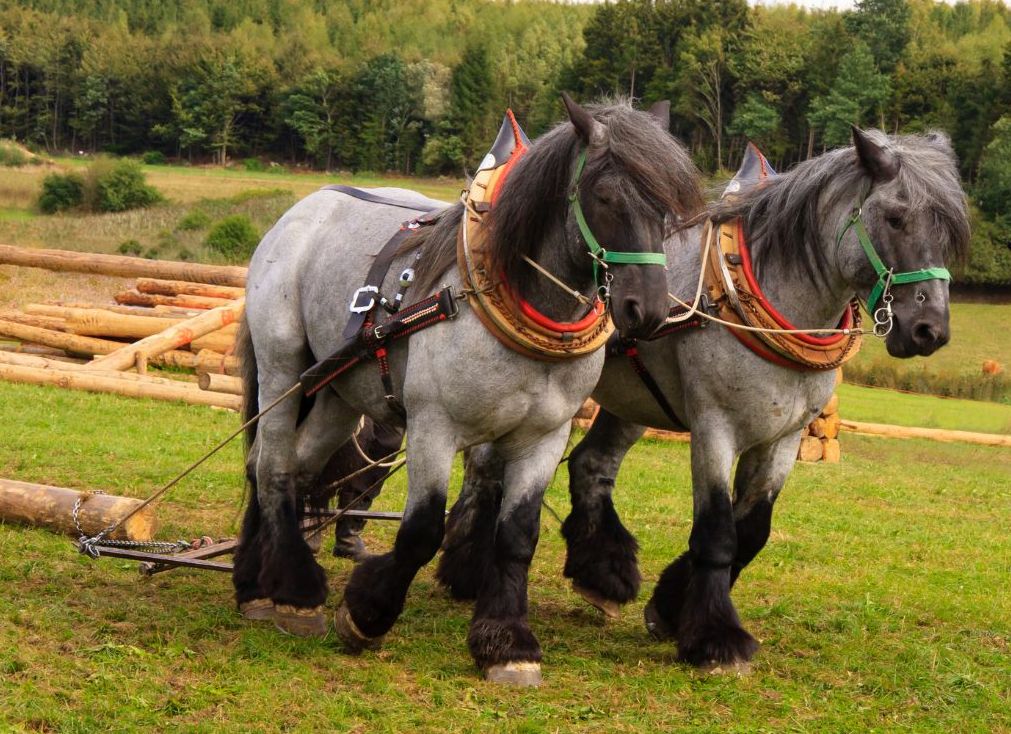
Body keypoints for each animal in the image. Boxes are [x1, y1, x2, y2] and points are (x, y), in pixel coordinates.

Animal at [231, 95, 703, 685]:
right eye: (604, 196)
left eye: (667, 209)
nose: (649, 309)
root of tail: (299, 212)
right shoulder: (433, 426)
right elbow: (421, 530)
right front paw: (366, 615)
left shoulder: (543, 436)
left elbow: (518, 535)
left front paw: (507, 644)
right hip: (282, 369)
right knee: (271, 466)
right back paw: (292, 590)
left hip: (338, 395)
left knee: (293, 466)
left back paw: (257, 580)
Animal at [437, 127, 970, 671]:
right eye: (896, 218)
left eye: (948, 231)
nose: (930, 329)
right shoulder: (717, 426)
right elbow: (718, 529)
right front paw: (715, 636)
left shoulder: (783, 438)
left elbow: (752, 531)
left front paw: (672, 604)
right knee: (488, 468)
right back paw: (468, 567)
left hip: (631, 398)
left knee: (591, 464)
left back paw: (602, 573)